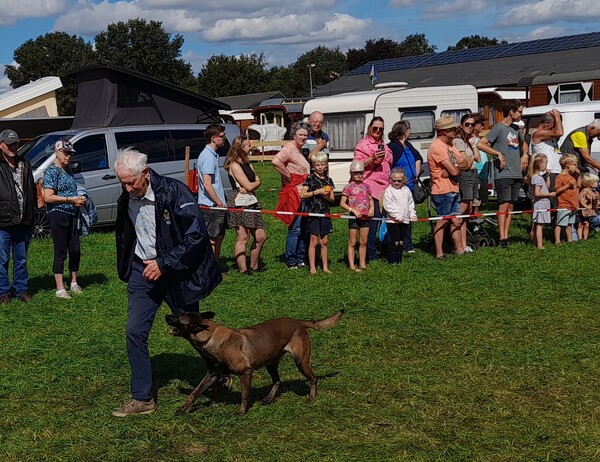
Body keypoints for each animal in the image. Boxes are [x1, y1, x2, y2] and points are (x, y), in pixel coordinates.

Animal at [166, 310, 344, 416]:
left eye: (178, 318)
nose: (166, 315)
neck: (210, 336)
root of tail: (298, 321)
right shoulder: (212, 375)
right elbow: (194, 392)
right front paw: (183, 408)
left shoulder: (245, 372)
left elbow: (245, 394)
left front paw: (242, 411)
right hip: (271, 364)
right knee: (277, 381)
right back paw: (268, 399)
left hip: (301, 362)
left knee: (314, 378)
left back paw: (312, 397)